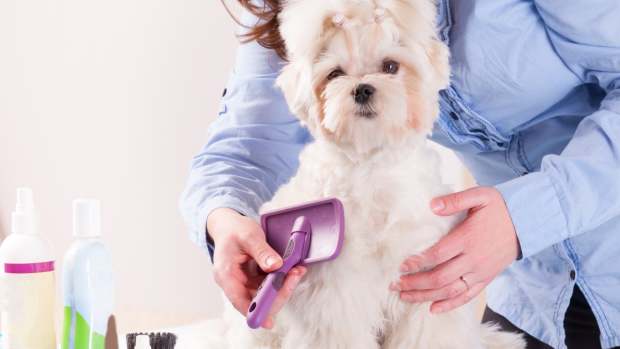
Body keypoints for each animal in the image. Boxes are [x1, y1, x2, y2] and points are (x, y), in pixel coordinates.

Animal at [205, 0, 528, 348]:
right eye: (335, 74)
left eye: (390, 66)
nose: (362, 89)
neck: (372, 165)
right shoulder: (335, 295)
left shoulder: (426, 281)